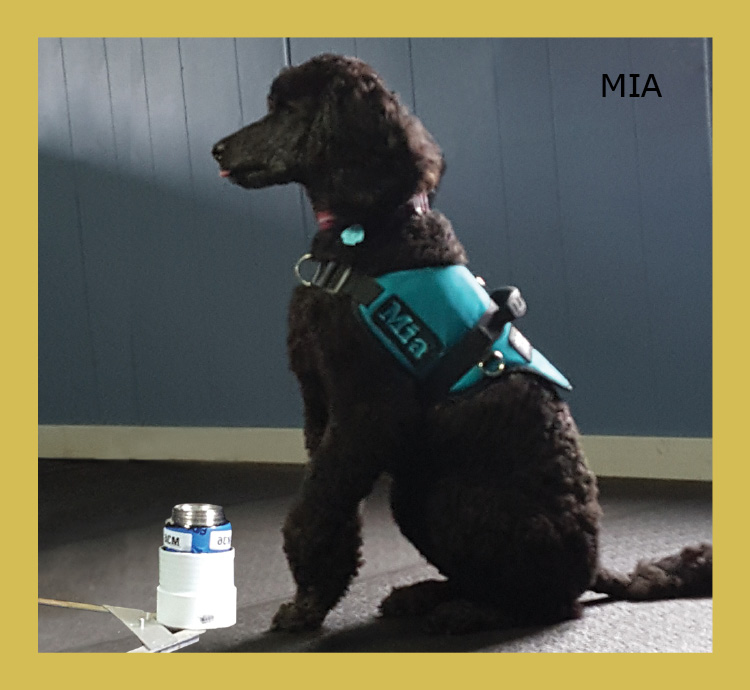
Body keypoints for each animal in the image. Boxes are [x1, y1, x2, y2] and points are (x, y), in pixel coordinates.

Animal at [214, 55, 712, 636]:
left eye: (286, 109)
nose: (217, 150)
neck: (371, 231)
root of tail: (593, 565)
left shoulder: (366, 413)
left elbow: (314, 508)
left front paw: (309, 600)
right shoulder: (322, 407)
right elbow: (328, 503)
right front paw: (314, 597)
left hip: (454, 499)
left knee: (547, 603)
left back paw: (469, 610)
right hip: (415, 494)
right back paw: (426, 594)